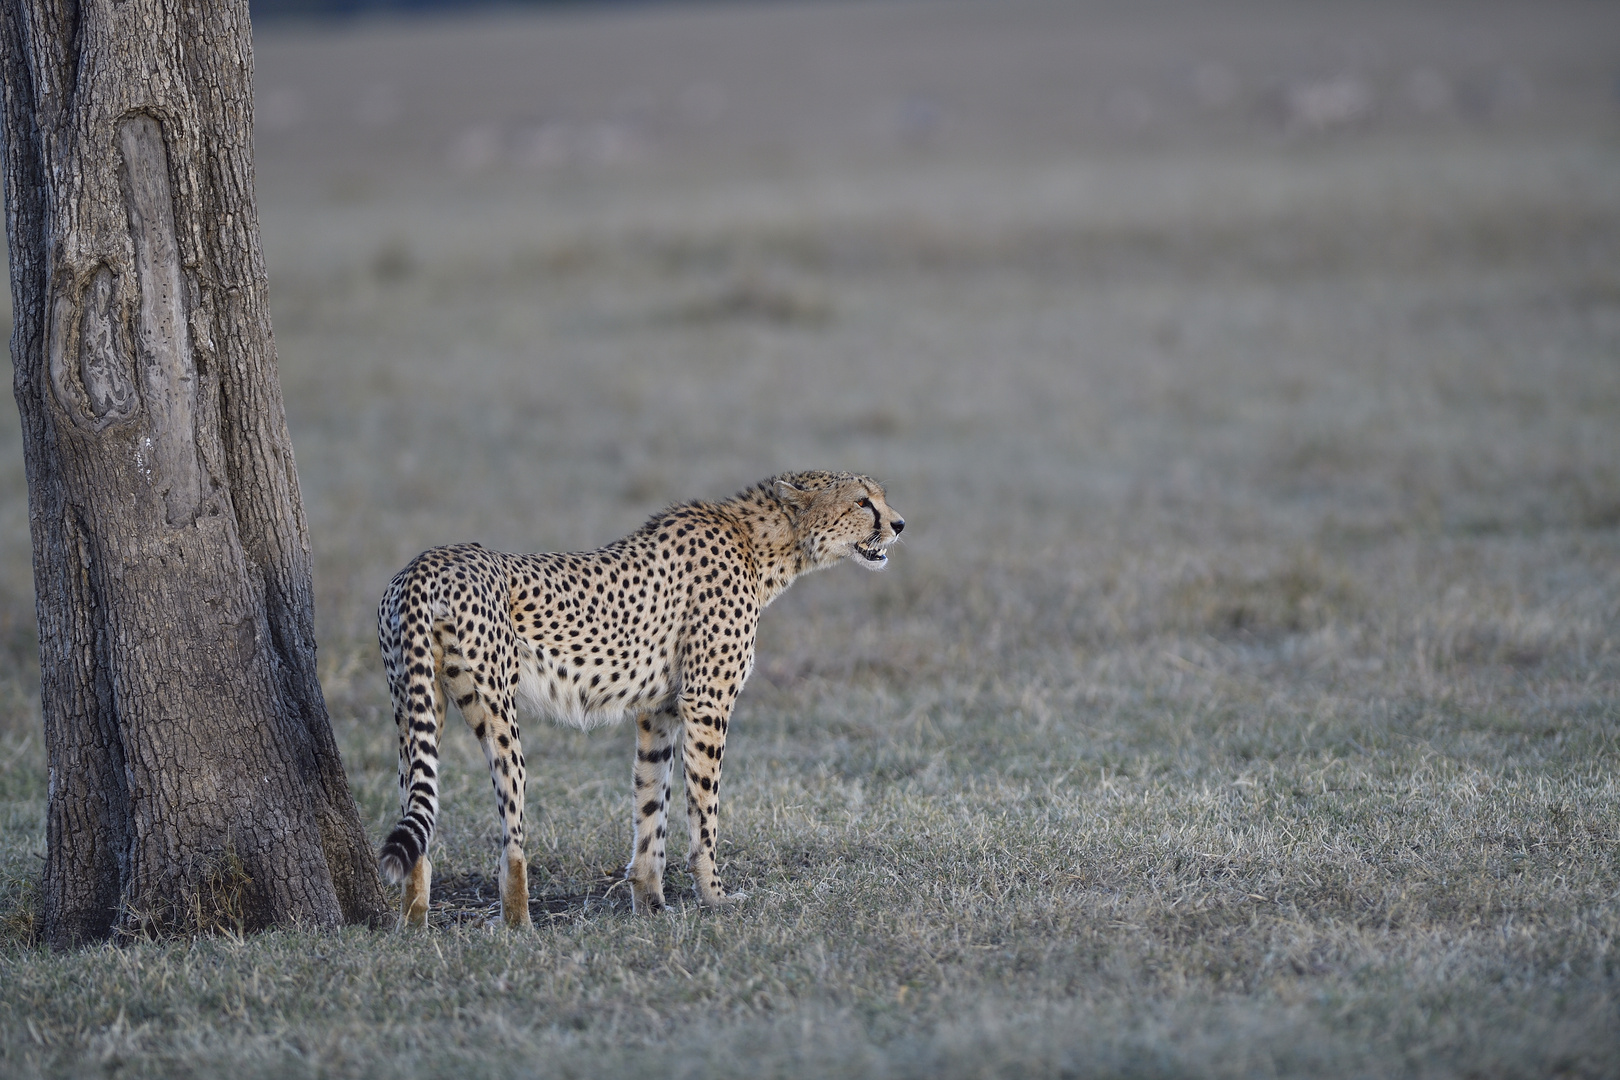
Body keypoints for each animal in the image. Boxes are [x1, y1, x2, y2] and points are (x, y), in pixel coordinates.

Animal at [382, 472, 913, 932]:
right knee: (510, 831)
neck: (762, 544)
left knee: (417, 805)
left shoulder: (659, 711)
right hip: (497, 712)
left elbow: (651, 805)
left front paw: (650, 902)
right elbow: (704, 812)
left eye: (880, 498)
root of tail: (426, 561)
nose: (900, 524)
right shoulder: (707, 701)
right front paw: (715, 898)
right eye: (862, 502)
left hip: (416, 708)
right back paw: (519, 925)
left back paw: (413, 925)